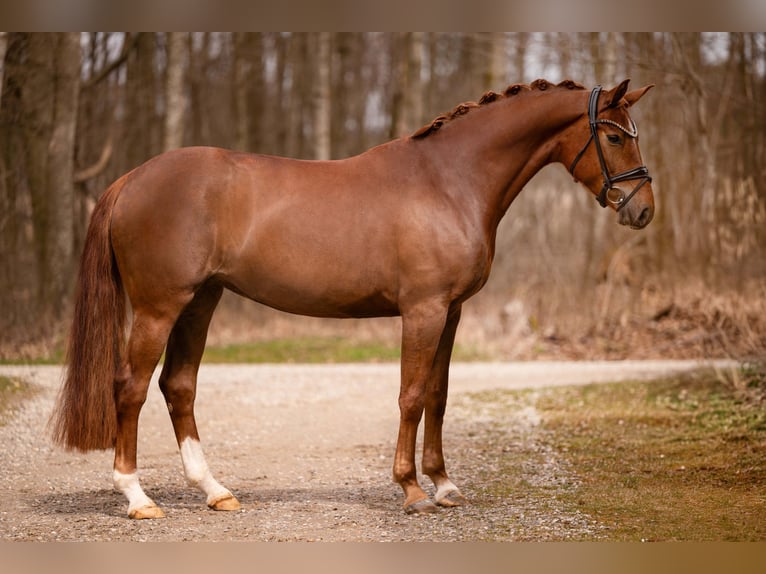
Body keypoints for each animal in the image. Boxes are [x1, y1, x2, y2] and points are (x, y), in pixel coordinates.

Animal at [50, 78, 655, 519]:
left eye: (634, 132)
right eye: (615, 137)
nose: (642, 210)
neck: (449, 181)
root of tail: (130, 179)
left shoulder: (452, 312)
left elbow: (438, 395)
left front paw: (444, 484)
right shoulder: (423, 310)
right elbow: (411, 395)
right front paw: (412, 490)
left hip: (201, 301)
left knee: (178, 385)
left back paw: (215, 490)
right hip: (160, 307)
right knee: (130, 388)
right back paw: (137, 498)